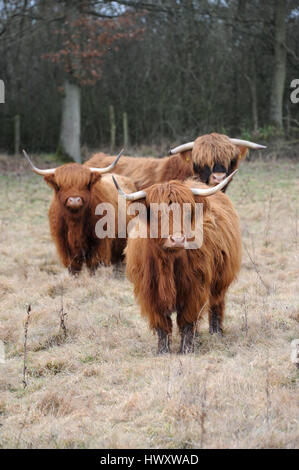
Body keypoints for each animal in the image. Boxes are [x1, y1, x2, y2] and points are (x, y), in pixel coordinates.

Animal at [113, 171, 243, 354]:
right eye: (157, 213)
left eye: (188, 212)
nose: (178, 239)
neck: (167, 262)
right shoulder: (150, 293)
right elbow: (162, 323)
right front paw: (163, 350)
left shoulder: (194, 289)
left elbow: (187, 321)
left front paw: (186, 349)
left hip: (221, 280)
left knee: (217, 304)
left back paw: (216, 332)